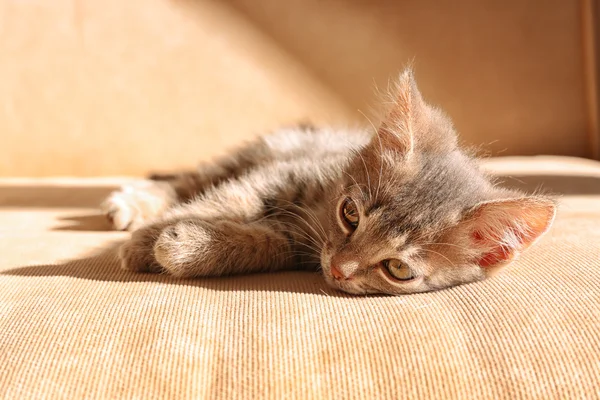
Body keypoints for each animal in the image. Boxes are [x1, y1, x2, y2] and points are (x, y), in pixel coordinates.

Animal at [101, 69, 556, 294]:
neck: (321, 209)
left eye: (397, 268)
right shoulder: (283, 173)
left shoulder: (297, 243)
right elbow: (228, 199)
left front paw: (186, 247)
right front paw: (146, 240)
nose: (338, 269)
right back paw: (133, 205)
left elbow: (264, 242)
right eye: (350, 213)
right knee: (194, 178)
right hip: (263, 150)